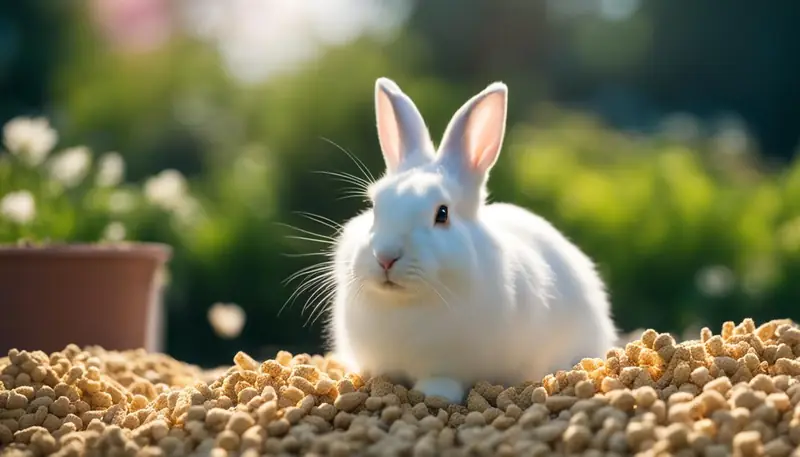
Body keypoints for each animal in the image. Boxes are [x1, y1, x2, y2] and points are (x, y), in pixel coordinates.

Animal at [328, 77, 618, 404]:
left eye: (442, 213)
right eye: (375, 206)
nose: (386, 257)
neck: (406, 304)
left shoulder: (449, 366)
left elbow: (442, 381)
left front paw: (434, 394)